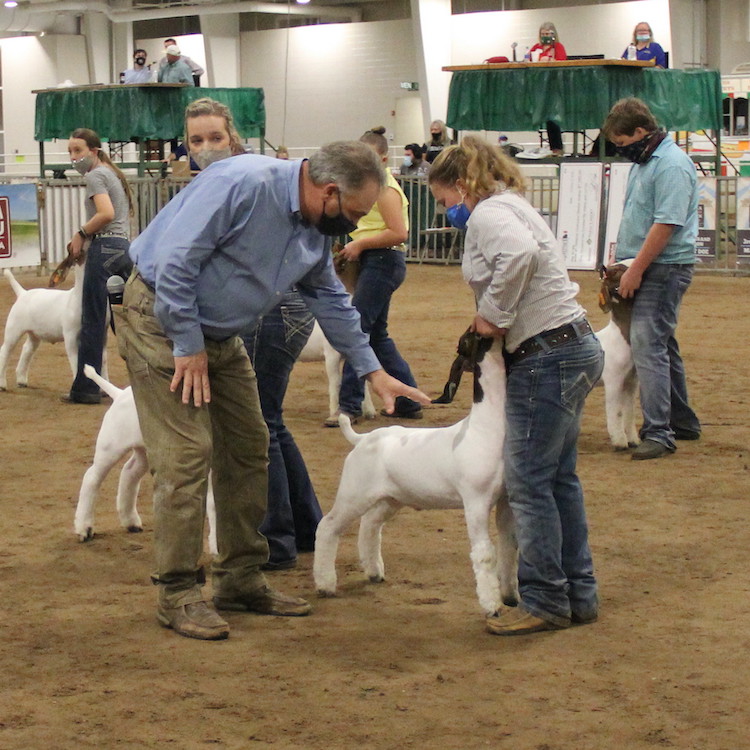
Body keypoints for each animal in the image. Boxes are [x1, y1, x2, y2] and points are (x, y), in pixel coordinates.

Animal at [74, 368, 217, 556]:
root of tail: (119, 394)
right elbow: (215, 507)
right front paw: (217, 547)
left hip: (146, 452)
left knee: (129, 473)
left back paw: (130, 521)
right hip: (110, 447)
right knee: (92, 478)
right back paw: (84, 527)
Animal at [314, 334, 520, 616]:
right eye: (470, 339)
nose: (491, 333)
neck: (485, 427)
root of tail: (363, 439)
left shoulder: (505, 501)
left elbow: (509, 545)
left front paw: (511, 596)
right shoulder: (476, 502)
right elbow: (485, 554)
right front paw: (491, 605)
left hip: (391, 498)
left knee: (370, 525)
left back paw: (374, 572)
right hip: (353, 494)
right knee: (328, 527)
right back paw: (325, 584)